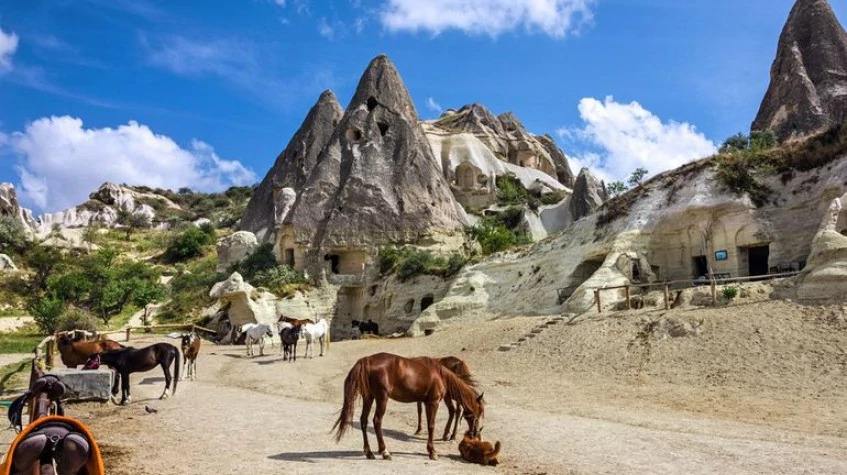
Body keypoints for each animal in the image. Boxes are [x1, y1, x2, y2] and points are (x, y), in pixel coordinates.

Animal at [333, 352, 485, 461]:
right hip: (382, 399)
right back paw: (385, 452)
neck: (440, 374)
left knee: (364, 421)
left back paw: (369, 452)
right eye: (477, 415)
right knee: (377, 421)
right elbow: (431, 426)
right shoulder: (433, 402)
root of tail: (367, 360)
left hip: (369, 398)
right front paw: (432, 452)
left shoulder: (424, 402)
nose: (476, 435)